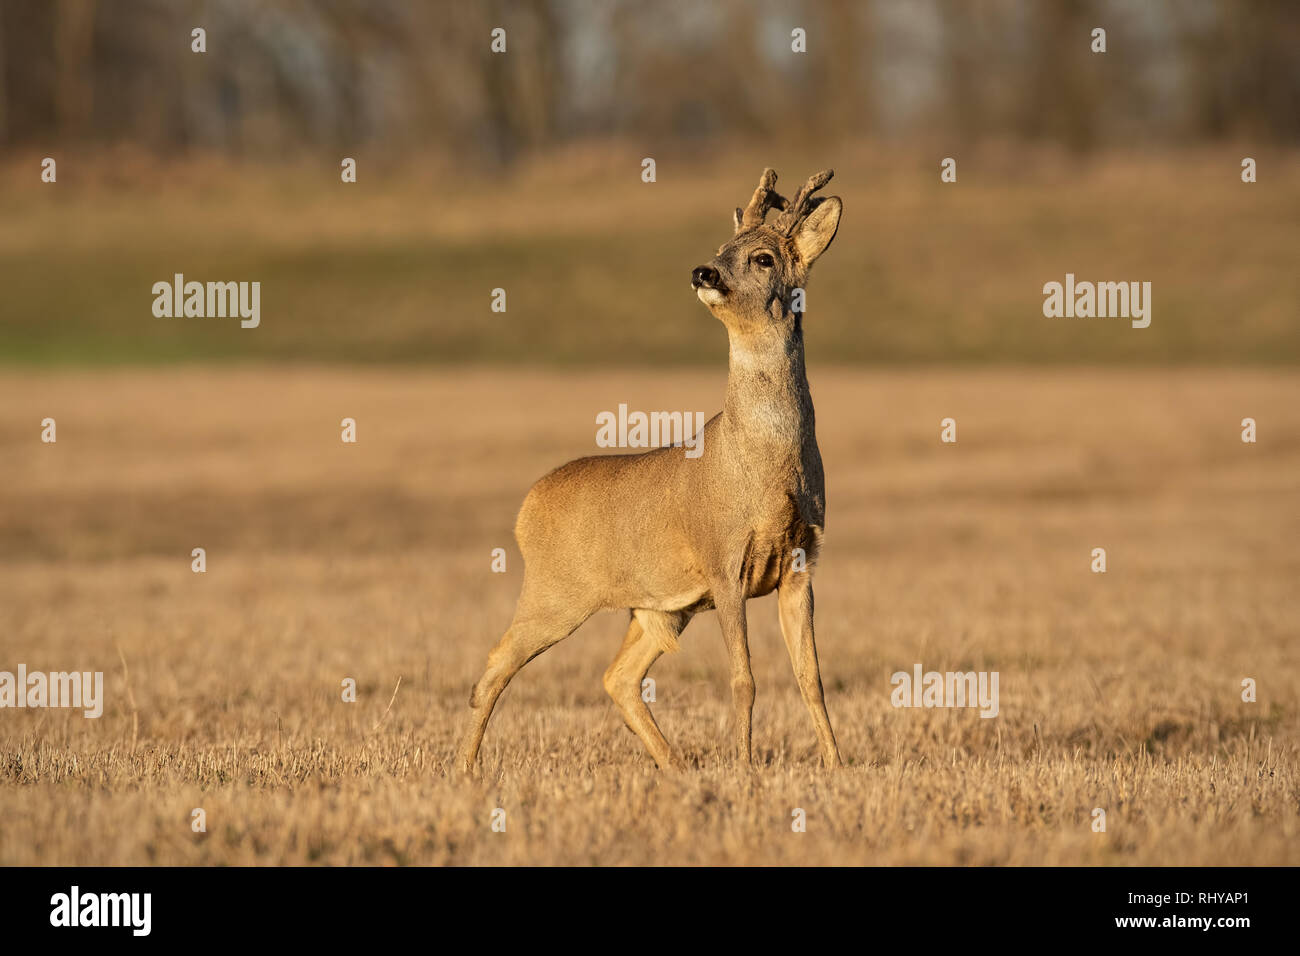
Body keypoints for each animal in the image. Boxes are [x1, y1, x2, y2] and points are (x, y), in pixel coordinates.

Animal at [457, 167, 842, 775]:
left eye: (762, 258)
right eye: (721, 247)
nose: (703, 271)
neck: (764, 464)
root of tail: (525, 507)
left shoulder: (801, 562)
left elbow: (812, 679)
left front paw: (836, 764)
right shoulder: (723, 562)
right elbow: (744, 680)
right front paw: (744, 767)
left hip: (658, 610)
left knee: (618, 678)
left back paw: (677, 767)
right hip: (555, 593)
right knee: (496, 664)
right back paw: (463, 769)